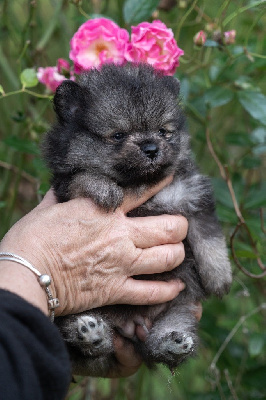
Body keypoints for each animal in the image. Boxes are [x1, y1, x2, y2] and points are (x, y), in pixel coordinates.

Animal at [42, 62, 232, 376]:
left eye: (163, 131)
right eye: (118, 135)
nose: (151, 148)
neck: (139, 183)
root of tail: (129, 326)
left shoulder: (191, 194)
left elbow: (210, 239)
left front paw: (220, 278)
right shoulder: (65, 186)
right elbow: (83, 177)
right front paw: (104, 188)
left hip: (177, 307)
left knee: (161, 342)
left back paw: (171, 343)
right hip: (74, 305)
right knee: (87, 344)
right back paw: (90, 333)